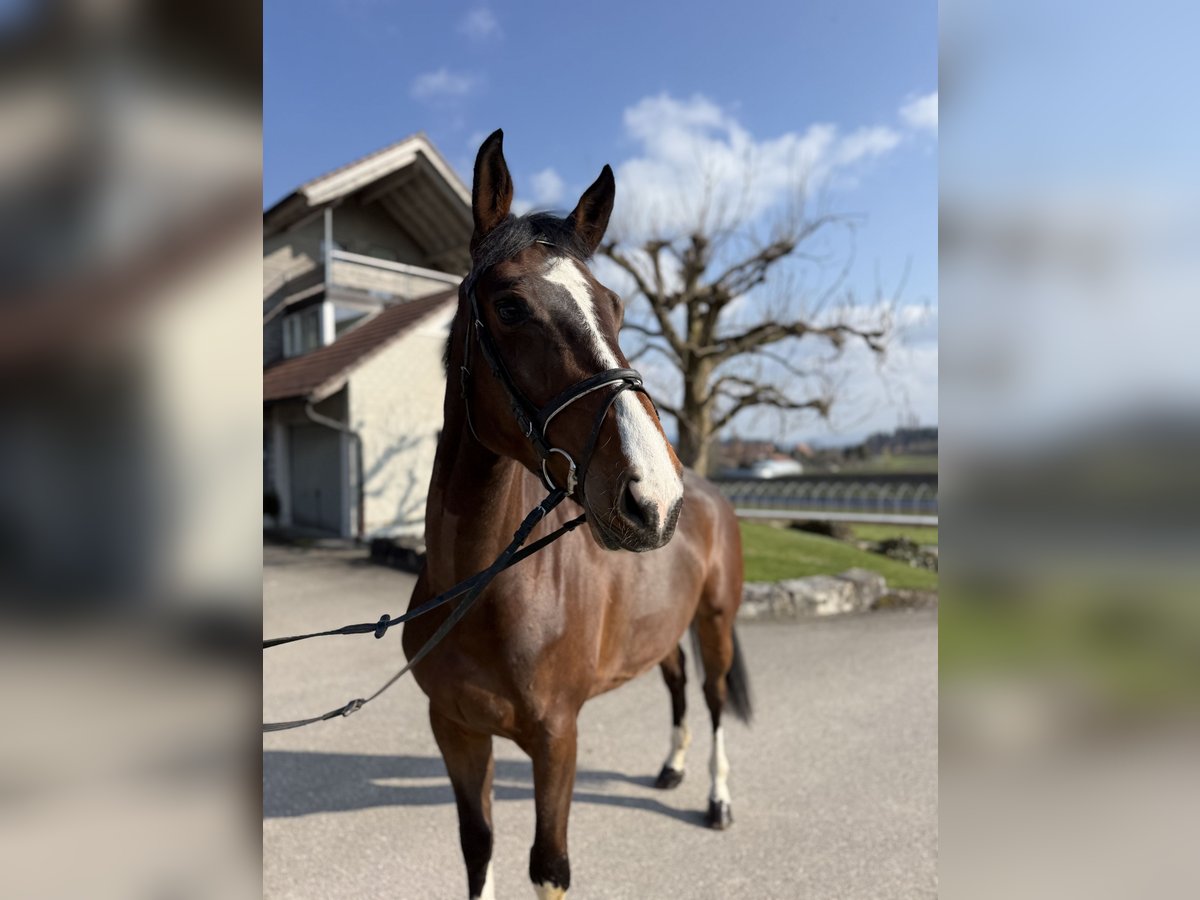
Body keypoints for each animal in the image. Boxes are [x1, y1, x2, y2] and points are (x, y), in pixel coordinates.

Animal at [402, 129, 751, 900]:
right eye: (509, 307)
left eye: (615, 308)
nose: (653, 495)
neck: (483, 593)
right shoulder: (456, 732)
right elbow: (478, 849)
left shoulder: (557, 740)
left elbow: (549, 868)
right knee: (676, 684)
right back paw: (671, 768)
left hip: (715, 621)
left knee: (713, 697)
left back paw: (717, 799)